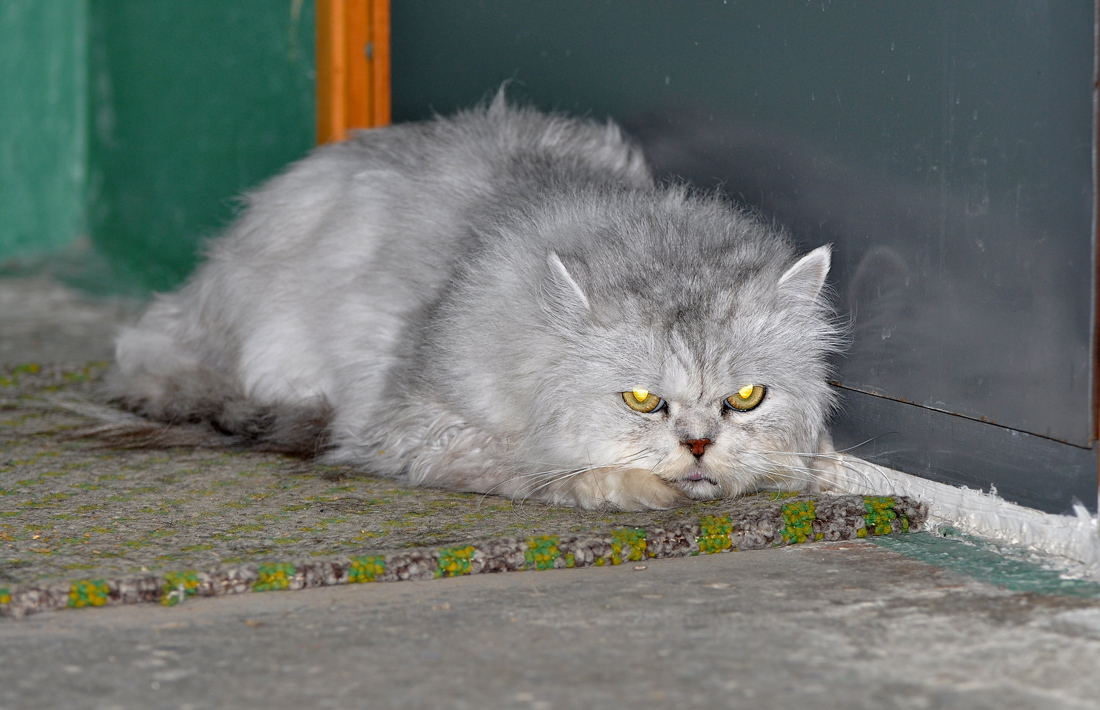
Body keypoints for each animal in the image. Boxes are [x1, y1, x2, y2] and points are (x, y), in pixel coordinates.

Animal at [103, 98, 840, 508]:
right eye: (641, 401)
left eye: (746, 398)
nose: (698, 447)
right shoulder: (417, 425)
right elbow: (548, 466)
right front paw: (633, 489)